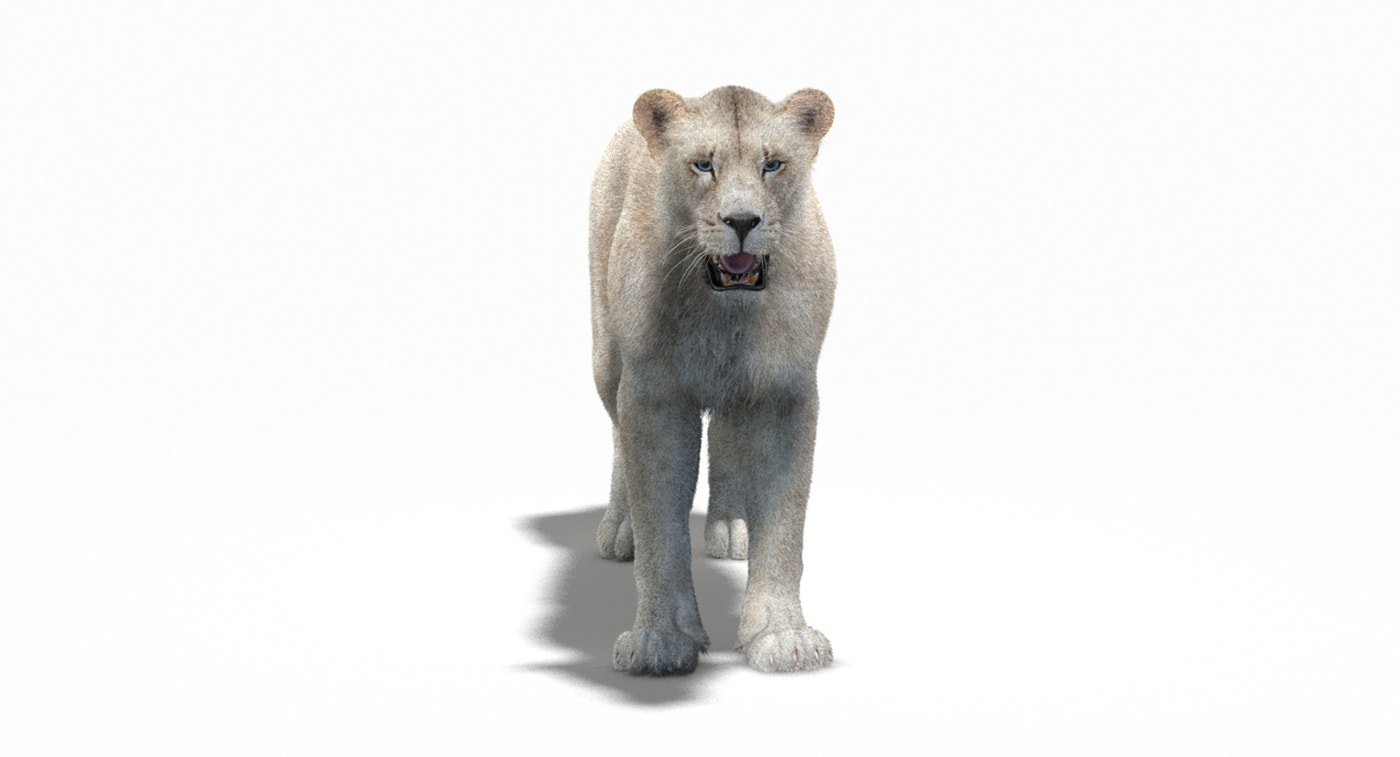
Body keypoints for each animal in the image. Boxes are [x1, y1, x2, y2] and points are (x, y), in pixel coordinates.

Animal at [590, 86, 837, 675]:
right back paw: (620, 529)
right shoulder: (654, 395)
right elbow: (659, 524)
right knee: (617, 435)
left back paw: (729, 527)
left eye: (773, 164)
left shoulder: (785, 393)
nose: (742, 220)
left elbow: (785, 524)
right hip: (607, 357)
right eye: (703, 165)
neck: (725, 315)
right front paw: (659, 641)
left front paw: (782, 636)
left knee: (726, 434)